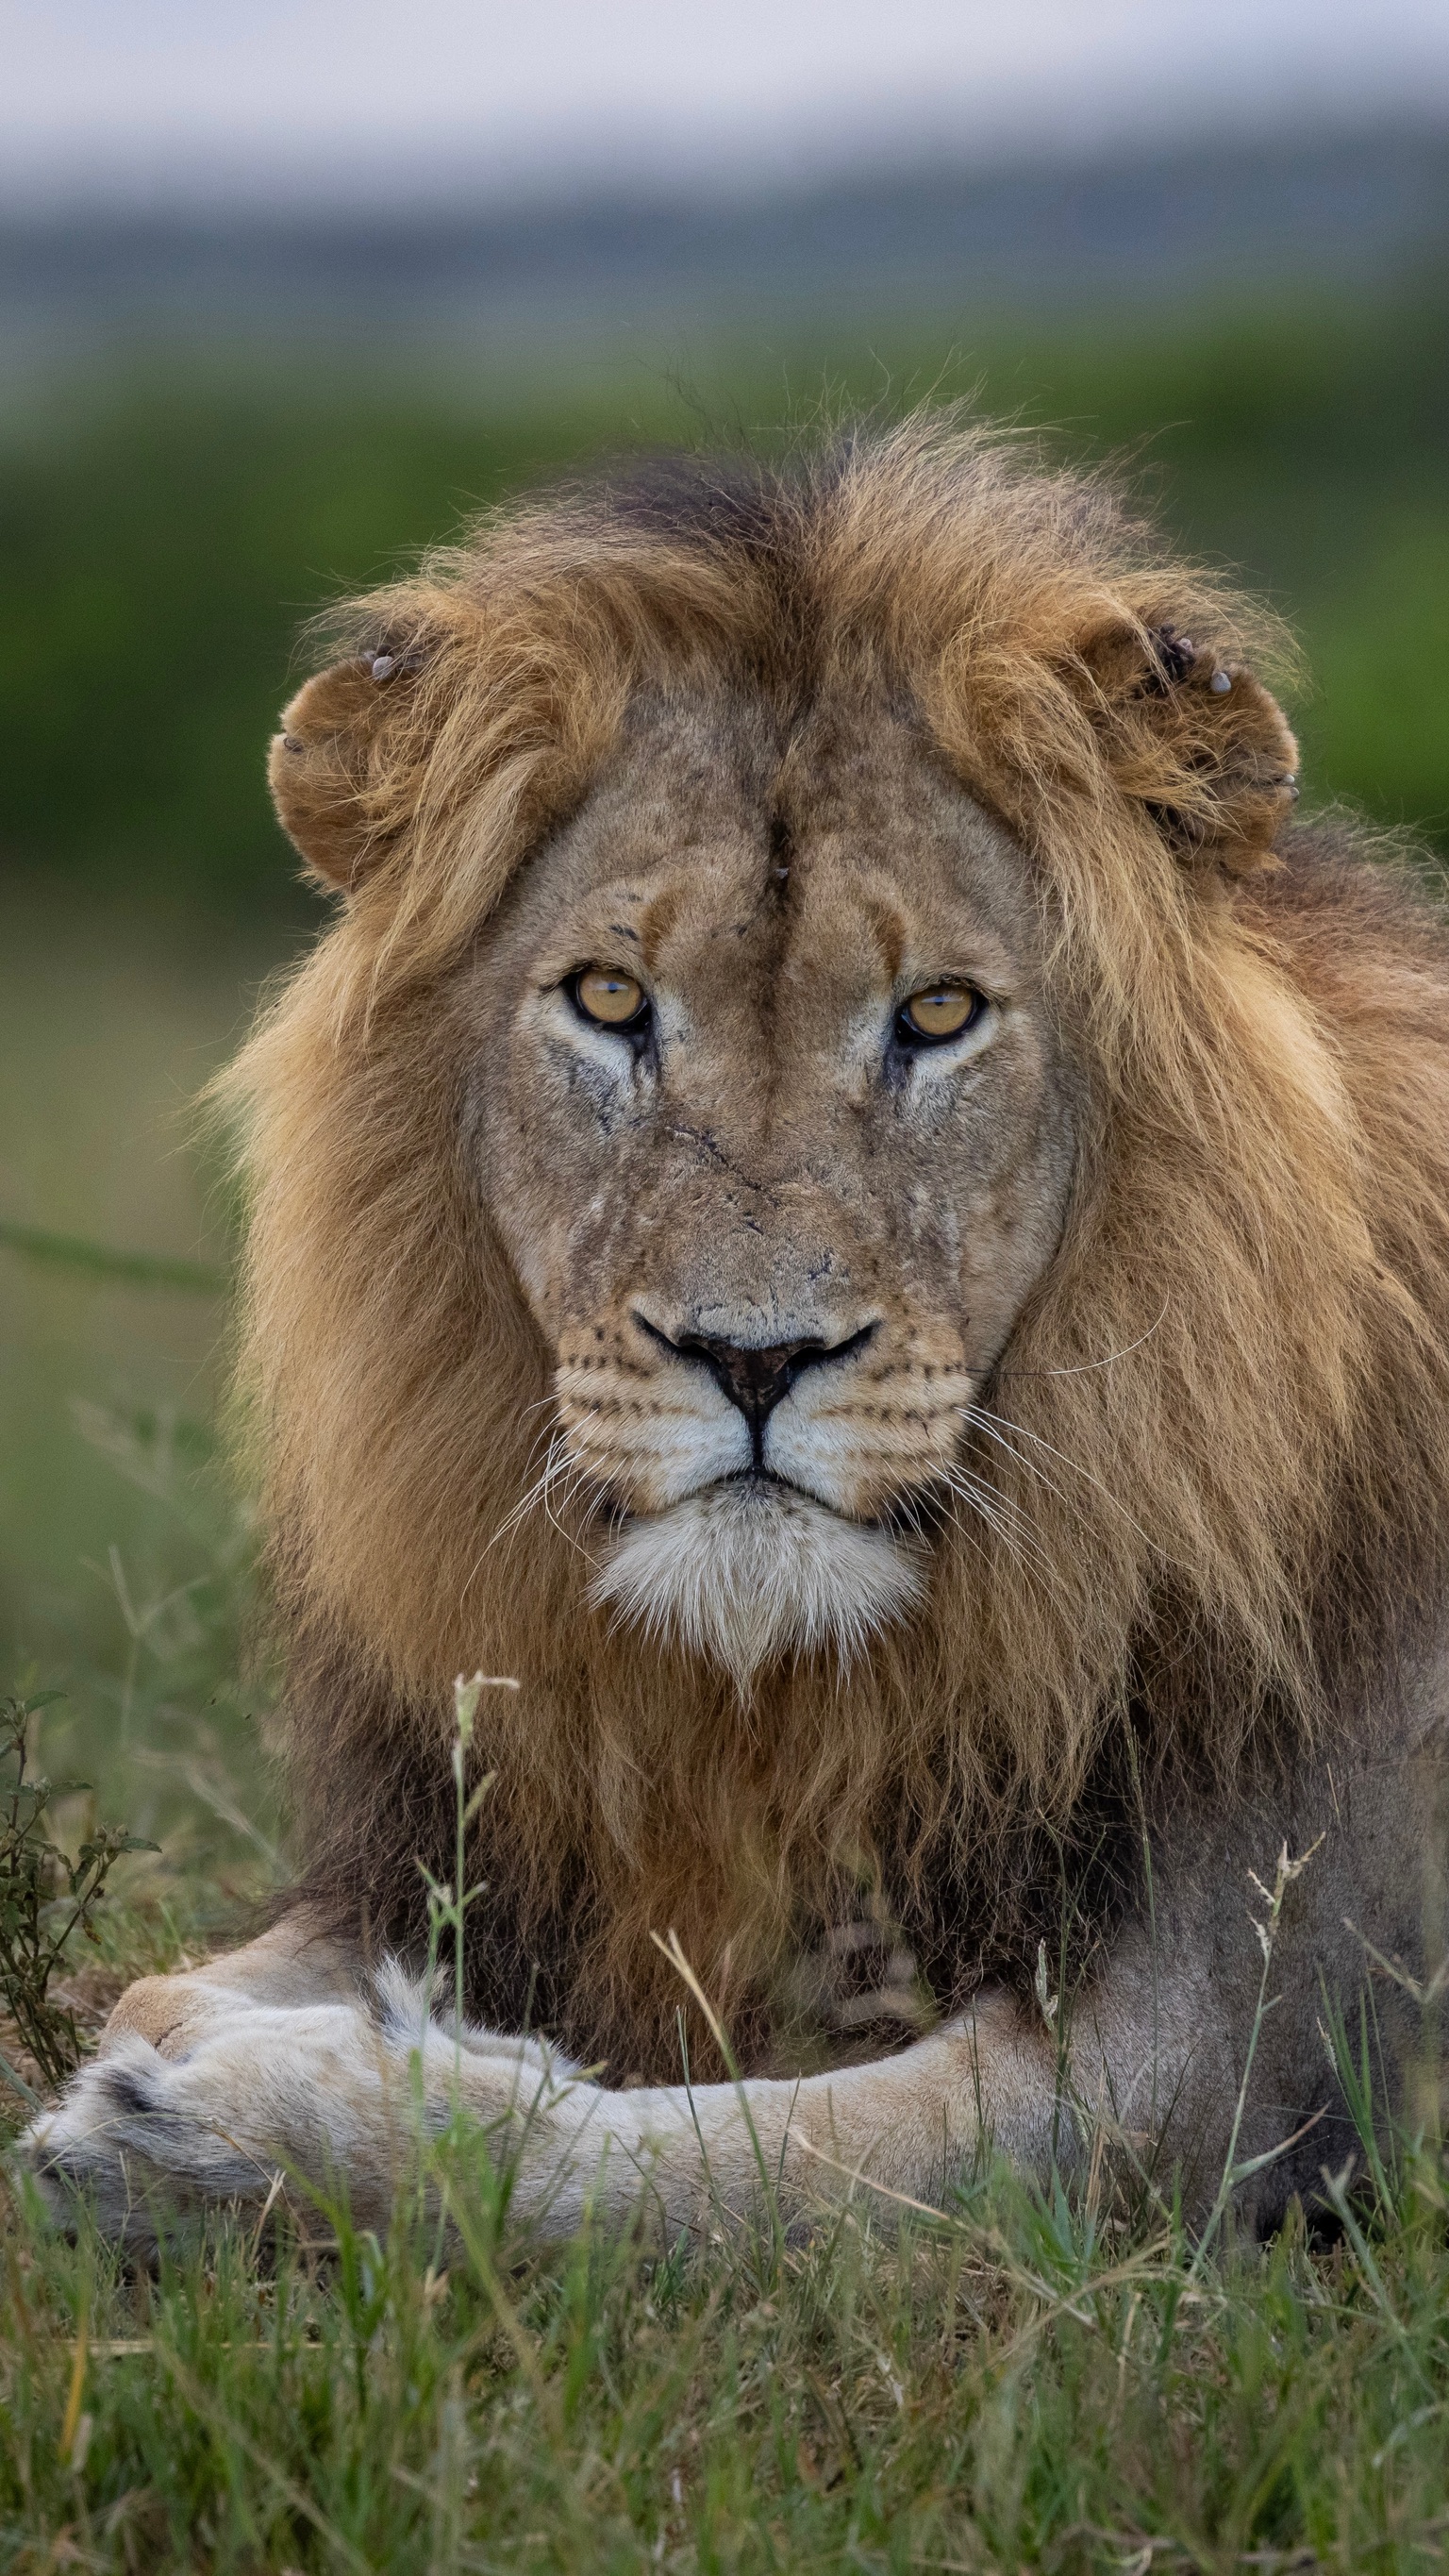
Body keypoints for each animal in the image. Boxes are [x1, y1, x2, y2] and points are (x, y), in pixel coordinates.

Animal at [22, 419, 1449, 2244]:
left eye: (938, 1013)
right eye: (610, 1000)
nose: (755, 1361)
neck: (779, 1699)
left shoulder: (1230, 2072)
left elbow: (719, 2168)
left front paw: (225, 2133)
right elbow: (209, 1970)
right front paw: (215, 2026)